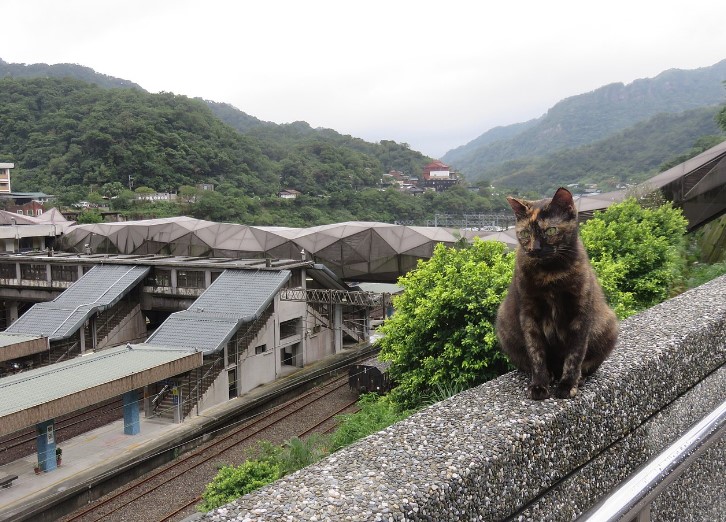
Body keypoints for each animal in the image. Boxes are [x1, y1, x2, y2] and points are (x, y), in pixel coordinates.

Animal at [498, 186, 616, 398]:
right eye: (525, 233)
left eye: (550, 230)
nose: (534, 248)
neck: (550, 275)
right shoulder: (529, 314)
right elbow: (536, 353)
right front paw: (539, 384)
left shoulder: (580, 314)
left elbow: (575, 354)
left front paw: (567, 385)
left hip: (608, 325)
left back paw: (579, 378)